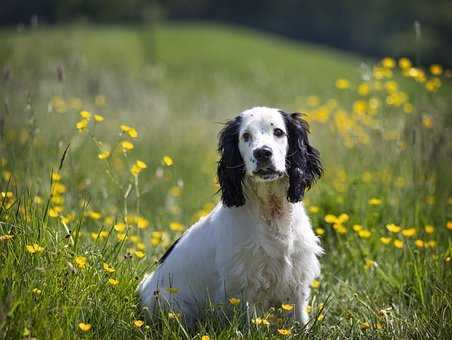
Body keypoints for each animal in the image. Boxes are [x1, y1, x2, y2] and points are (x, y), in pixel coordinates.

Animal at [139, 106, 324, 324]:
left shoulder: (296, 277)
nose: (262, 153)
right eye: (245, 136)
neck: (271, 212)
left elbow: (300, 319)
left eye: (278, 132)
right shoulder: (242, 284)